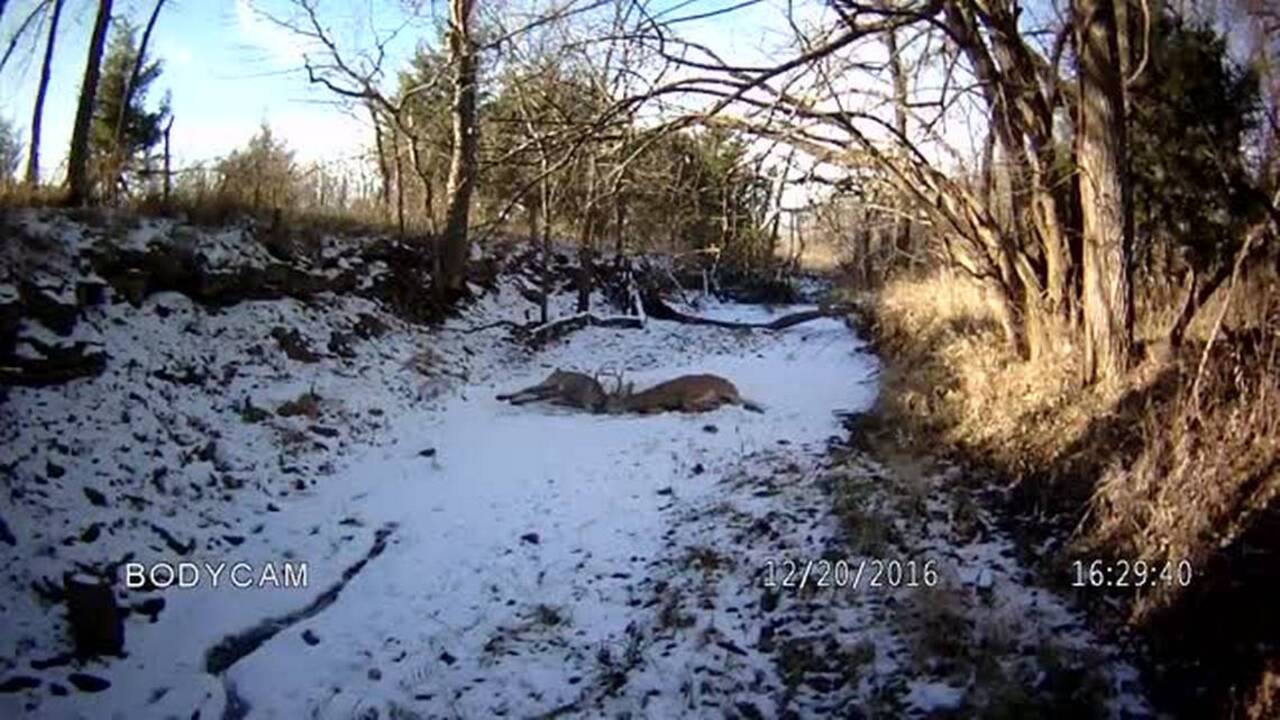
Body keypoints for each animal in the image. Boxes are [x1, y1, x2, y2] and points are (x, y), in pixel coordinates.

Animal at [606, 373, 765, 414]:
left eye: (614, 400)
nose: (605, 409)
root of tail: (733, 385)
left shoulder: (689, 394)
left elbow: (685, 404)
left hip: (723, 390)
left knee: (738, 402)